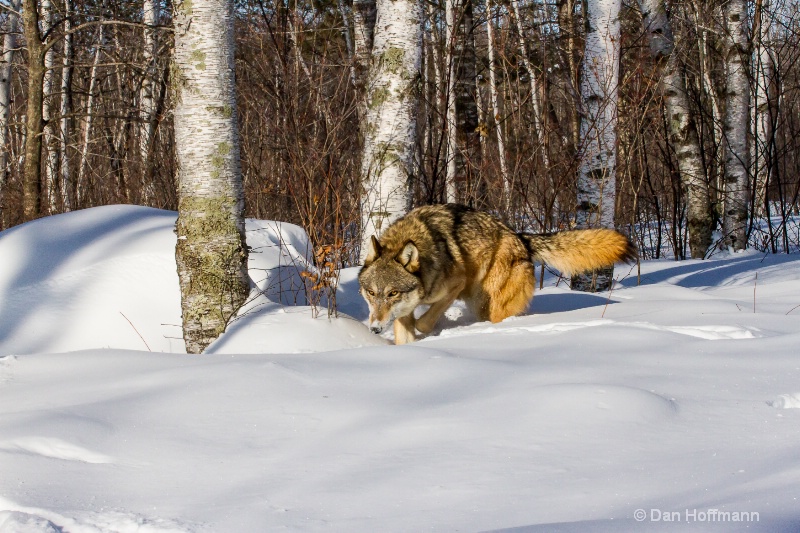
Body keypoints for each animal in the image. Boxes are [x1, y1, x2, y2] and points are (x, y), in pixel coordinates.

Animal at [356, 204, 636, 344]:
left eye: (392, 293)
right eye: (371, 293)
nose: (375, 329)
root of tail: (521, 239)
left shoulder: (455, 284)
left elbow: (425, 321)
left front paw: (425, 329)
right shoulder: (403, 311)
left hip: (489, 303)